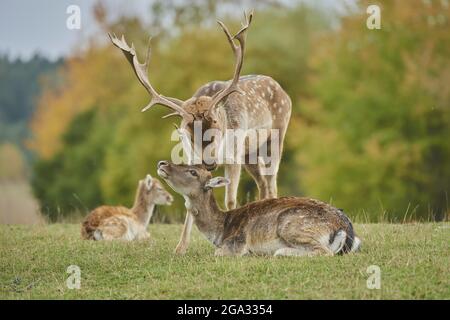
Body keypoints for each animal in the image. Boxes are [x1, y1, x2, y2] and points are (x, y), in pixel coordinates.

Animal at [108, 12, 292, 254]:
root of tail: (282, 89)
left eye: (215, 121)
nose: (210, 162)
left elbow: (230, 200)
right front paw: (180, 248)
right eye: (187, 127)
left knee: (271, 181)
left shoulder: (233, 157)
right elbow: (188, 201)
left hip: (277, 135)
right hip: (250, 153)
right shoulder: (190, 156)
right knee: (262, 182)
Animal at [156, 161, 360, 256]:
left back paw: (280, 252)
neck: (220, 229)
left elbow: (219, 252)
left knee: (323, 252)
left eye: (193, 172)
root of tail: (345, 229)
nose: (162, 164)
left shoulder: (236, 242)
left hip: (290, 225)